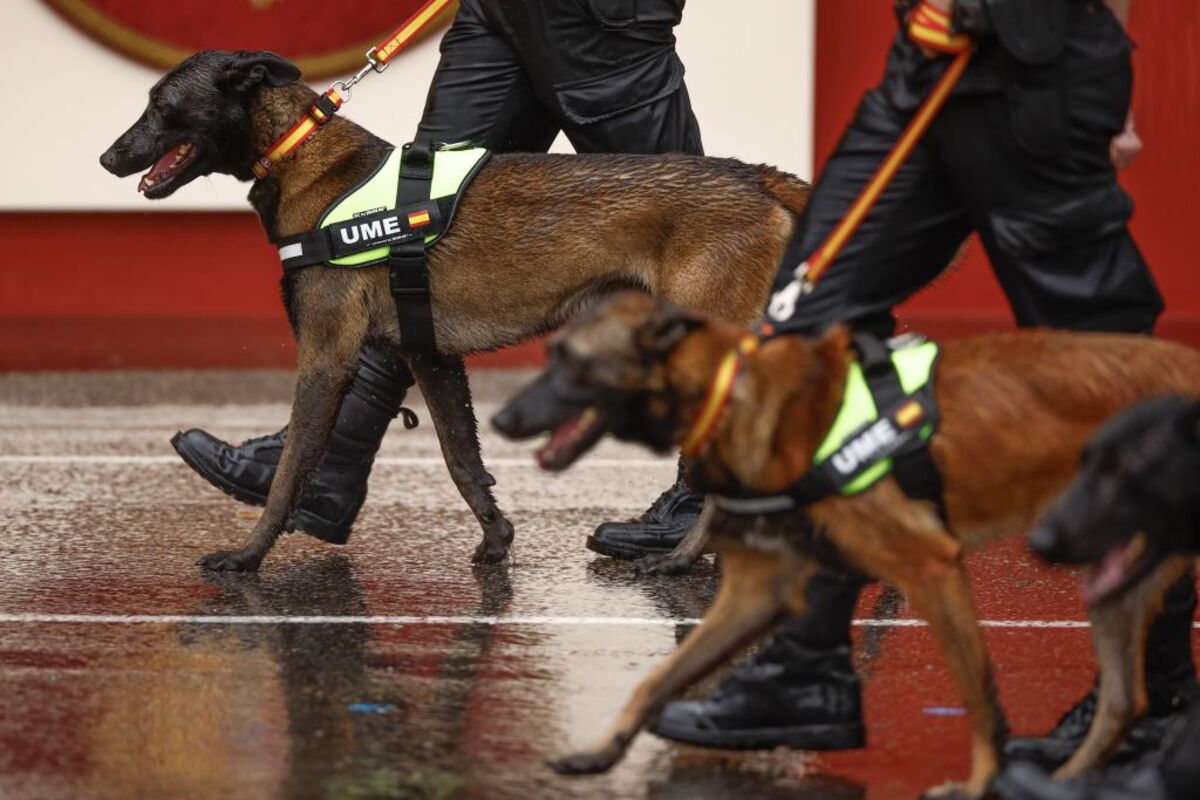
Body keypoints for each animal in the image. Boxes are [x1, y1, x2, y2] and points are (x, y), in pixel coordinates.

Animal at [98, 50, 811, 573]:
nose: (107, 157)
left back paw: (687, 559)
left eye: (160, 106)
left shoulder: (326, 358)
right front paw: (497, 539)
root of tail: (755, 175)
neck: (302, 156)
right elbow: (462, 460)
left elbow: (292, 469)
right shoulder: (429, 354)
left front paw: (249, 555)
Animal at [492, 296, 1200, 800]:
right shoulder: (757, 591)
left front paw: (979, 783)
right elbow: (660, 676)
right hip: (1116, 575)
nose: (500, 420)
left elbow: (981, 702)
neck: (745, 397)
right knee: (1122, 702)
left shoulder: (933, 568)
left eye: (572, 361)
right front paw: (602, 751)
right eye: (548, 353)